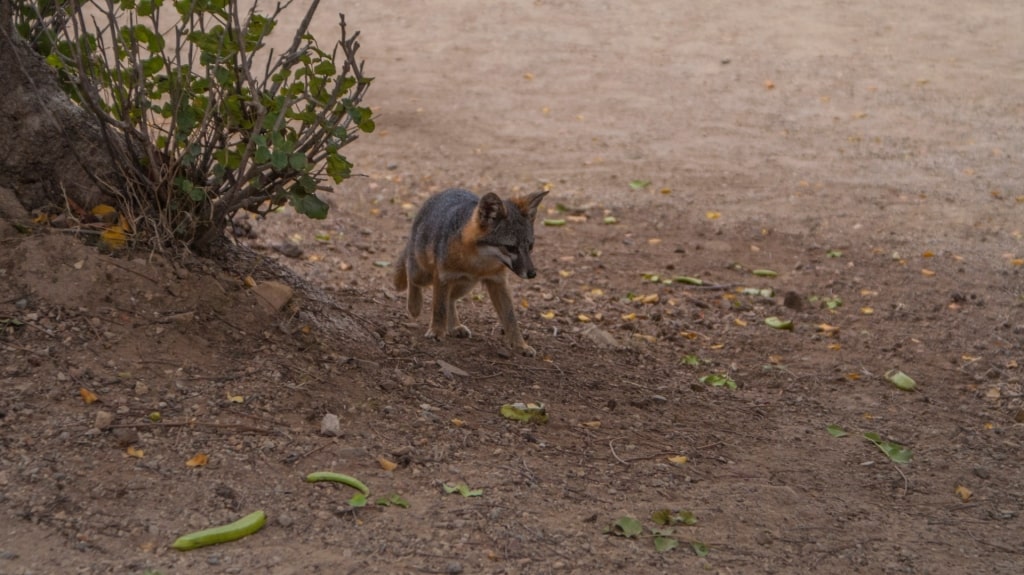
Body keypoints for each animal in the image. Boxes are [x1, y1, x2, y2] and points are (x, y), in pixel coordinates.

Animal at [393, 188, 552, 354]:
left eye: (531, 246)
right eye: (511, 248)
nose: (532, 273)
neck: (477, 264)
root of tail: (447, 190)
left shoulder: (498, 281)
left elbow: (510, 318)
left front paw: (520, 345)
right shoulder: (443, 277)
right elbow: (439, 307)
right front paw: (437, 331)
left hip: (465, 286)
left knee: (450, 299)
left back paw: (454, 326)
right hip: (423, 273)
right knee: (411, 272)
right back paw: (414, 305)